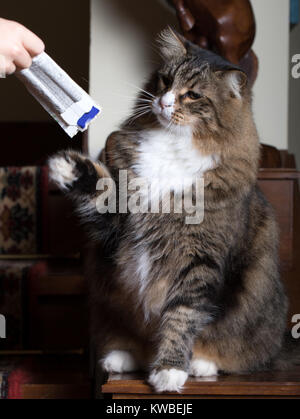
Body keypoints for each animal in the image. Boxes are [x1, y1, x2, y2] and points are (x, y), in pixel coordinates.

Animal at [48, 29, 298, 394]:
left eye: (192, 95)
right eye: (165, 81)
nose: (164, 102)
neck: (172, 145)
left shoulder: (200, 260)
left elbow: (182, 316)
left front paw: (169, 370)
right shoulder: (119, 226)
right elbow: (101, 191)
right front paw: (67, 168)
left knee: (238, 355)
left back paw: (200, 365)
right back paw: (121, 357)